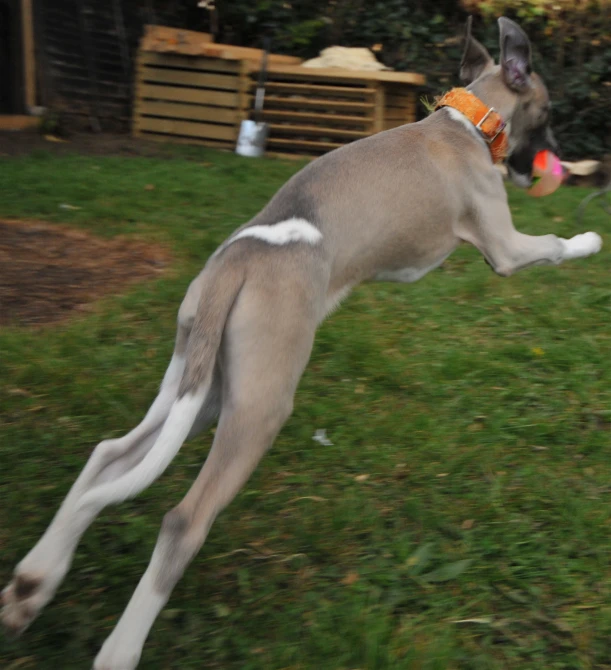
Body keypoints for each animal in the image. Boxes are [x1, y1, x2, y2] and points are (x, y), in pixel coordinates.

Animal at [1, 15, 604, 670]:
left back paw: (34, 582)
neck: (464, 122)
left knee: (110, 457)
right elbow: (550, 244)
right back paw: (117, 647)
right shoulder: (505, 246)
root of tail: (237, 262)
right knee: (183, 519)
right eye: (547, 114)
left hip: (202, 386)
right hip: (259, 407)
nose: (548, 164)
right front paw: (590, 239)